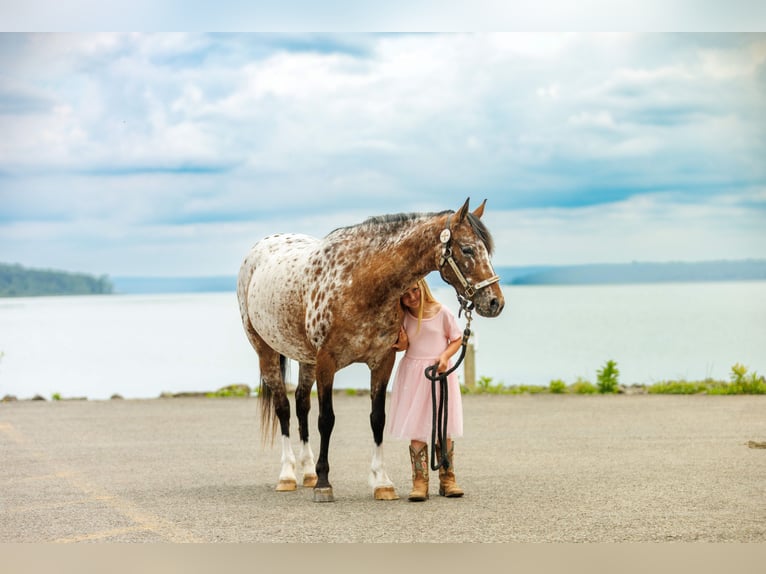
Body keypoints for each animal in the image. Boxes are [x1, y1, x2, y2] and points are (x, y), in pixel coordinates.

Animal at [237, 198, 505, 502]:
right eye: (468, 249)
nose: (495, 302)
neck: (359, 281)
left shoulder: (382, 360)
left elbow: (378, 419)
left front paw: (381, 482)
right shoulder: (327, 362)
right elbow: (326, 420)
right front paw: (324, 483)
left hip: (306, 359)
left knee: (302, 404)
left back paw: (307, 471)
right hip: (267, 352)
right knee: (283, 408)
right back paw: (288, 474)